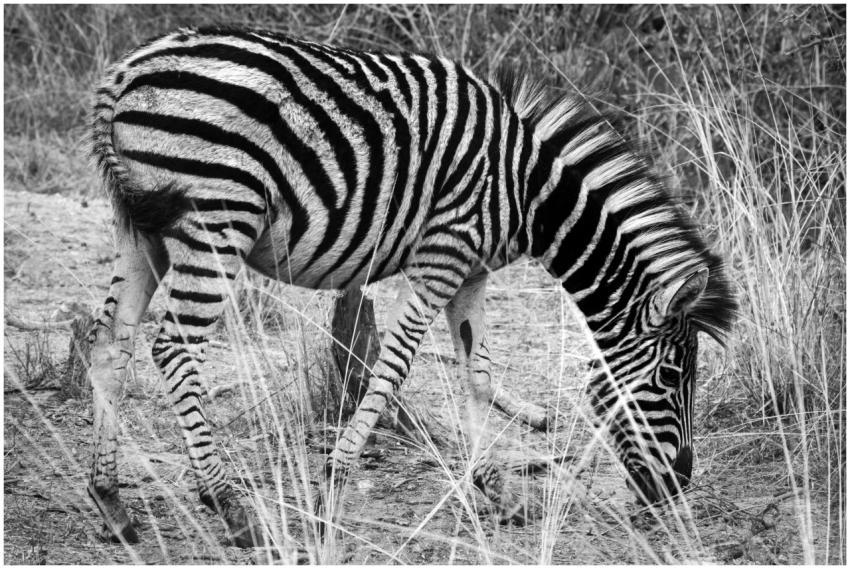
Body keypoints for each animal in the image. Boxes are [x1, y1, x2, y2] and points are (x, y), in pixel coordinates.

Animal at [86, 26, 736, 548]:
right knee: (173, 347)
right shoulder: (442, 257)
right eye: (673, 377)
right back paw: (230, 508)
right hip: (219, 220)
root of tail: (126, 70)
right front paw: (333, 486)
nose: (677, 485)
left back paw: (111, 502)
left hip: (141, 230)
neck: (528, 195)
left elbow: (480, 373)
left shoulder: (471, 271)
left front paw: (496, 489)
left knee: (109, 342)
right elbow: (394, 367)